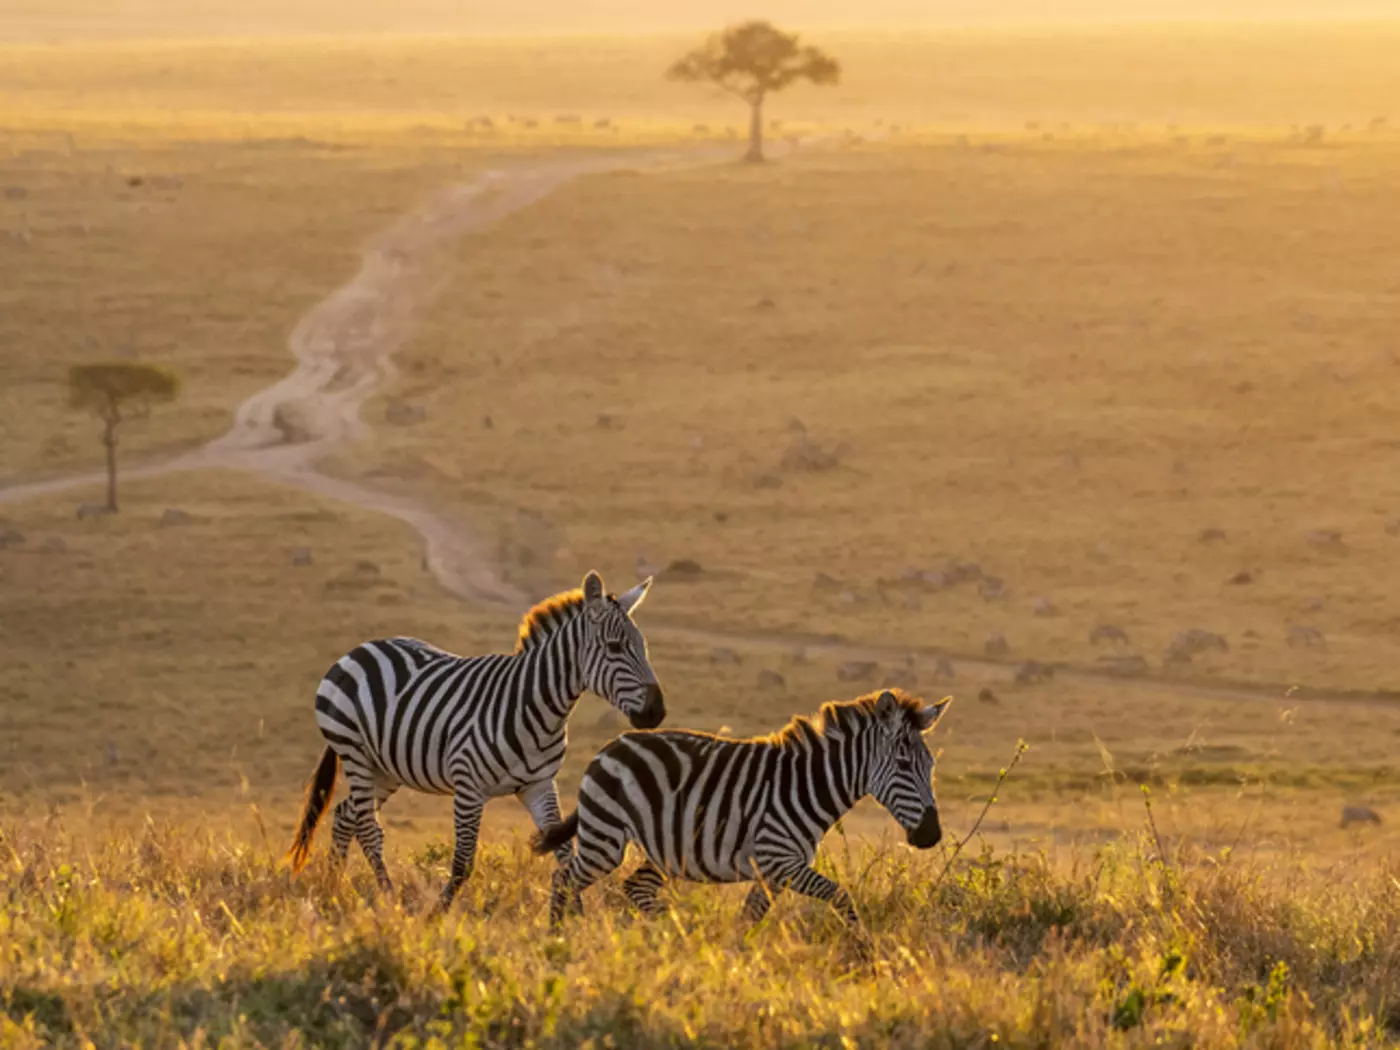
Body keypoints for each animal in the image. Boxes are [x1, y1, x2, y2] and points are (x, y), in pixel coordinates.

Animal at [286, 570, 666, 911]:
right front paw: (436, 916)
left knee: (345, 814)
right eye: (615, 647)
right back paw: (388, 898)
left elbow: (562, 851)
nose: (657, 712)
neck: (535, 706)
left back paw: (333, 888)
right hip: (355, 753)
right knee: (368, 828)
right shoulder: (469, 787)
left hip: (386, 768)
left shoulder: (539, 785)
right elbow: (462, 863)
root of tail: (359, 649)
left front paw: (573, 918)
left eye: (644, 647)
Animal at [533, 688, 951, 930]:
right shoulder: (780, 861)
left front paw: (737, 964)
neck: (808, 785)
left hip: (663, 849)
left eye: (931, 766)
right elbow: (841, 897)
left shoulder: (773, 873)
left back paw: (672, 936)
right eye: (902, 765)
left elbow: (748, 921)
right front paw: (865, 956)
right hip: (605, 838)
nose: (931, 835)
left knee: (634, 886)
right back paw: (558, 939)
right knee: (563, 879)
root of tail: (611, 745)